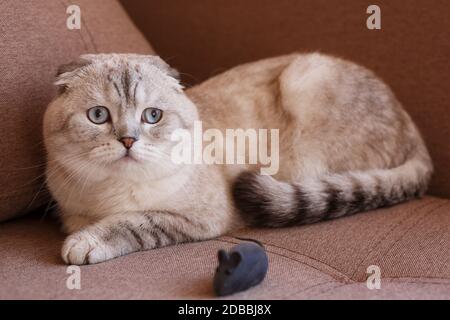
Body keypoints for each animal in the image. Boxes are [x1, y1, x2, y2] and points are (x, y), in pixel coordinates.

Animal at [44, 53, 432, 264]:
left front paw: (86, 244)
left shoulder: (200, 217)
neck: (110, 195)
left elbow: (132, 223)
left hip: (306, 90)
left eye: (152, 116)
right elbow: (99, 222)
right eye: (98, 116)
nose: (127, 140)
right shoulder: (73, 213)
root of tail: (414, 131)